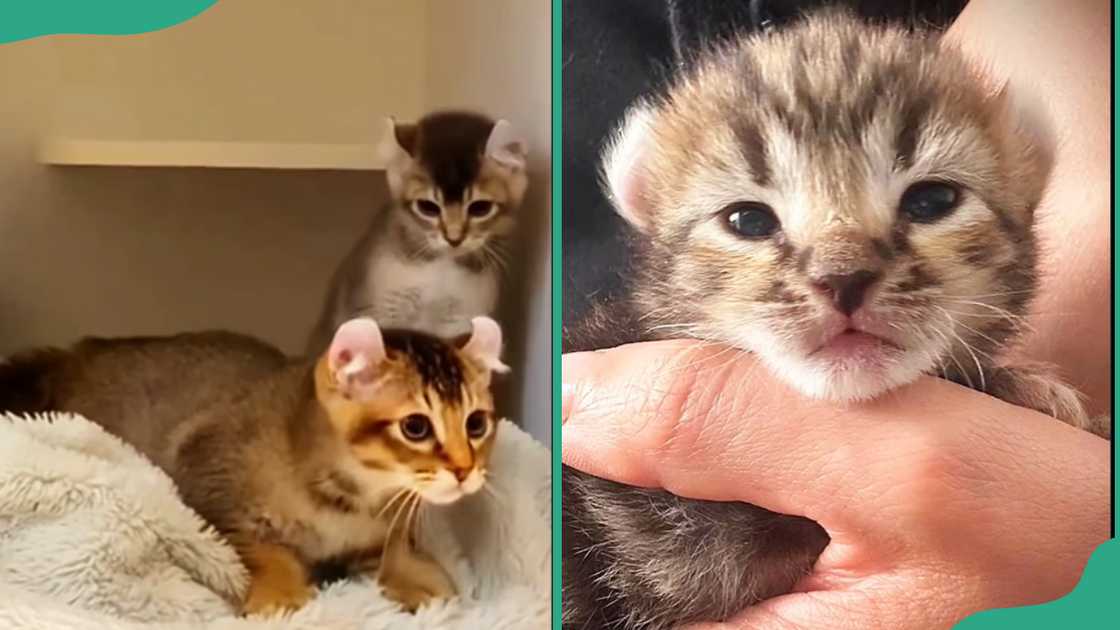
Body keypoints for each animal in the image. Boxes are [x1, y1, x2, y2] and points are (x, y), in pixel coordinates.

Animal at [2, 313, 510, 614]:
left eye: (477, 423)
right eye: (416, 427)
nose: (465, 470)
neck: (350, 504)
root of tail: (69, 356)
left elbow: (391, 549)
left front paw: (413, 580)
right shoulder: (205, 481)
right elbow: (265, 548)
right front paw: (282, 594)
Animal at [306, 109, 528, 349]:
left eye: (480, 208)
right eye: (427, 207)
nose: (454, 238)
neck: (441, 268)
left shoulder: (461, 322)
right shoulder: (382, 314)